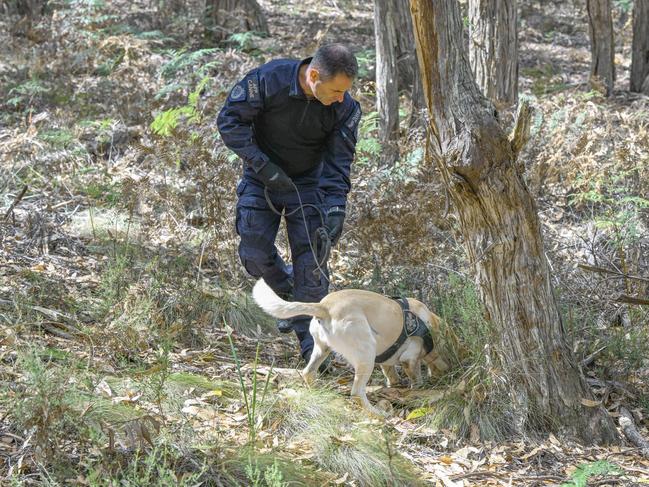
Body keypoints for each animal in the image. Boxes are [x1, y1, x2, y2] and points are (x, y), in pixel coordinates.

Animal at [251, 278, 458, 416]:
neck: (430, 323)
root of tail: (324, 306)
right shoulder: (410, 359)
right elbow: (416, 377)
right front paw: (419, 388)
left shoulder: (387, 362)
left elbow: (391, 374)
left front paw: (396, 386)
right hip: (367, 354)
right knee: (357, 392)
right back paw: (377, 412)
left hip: (322, 350)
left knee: (308, 373)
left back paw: (318, 394)